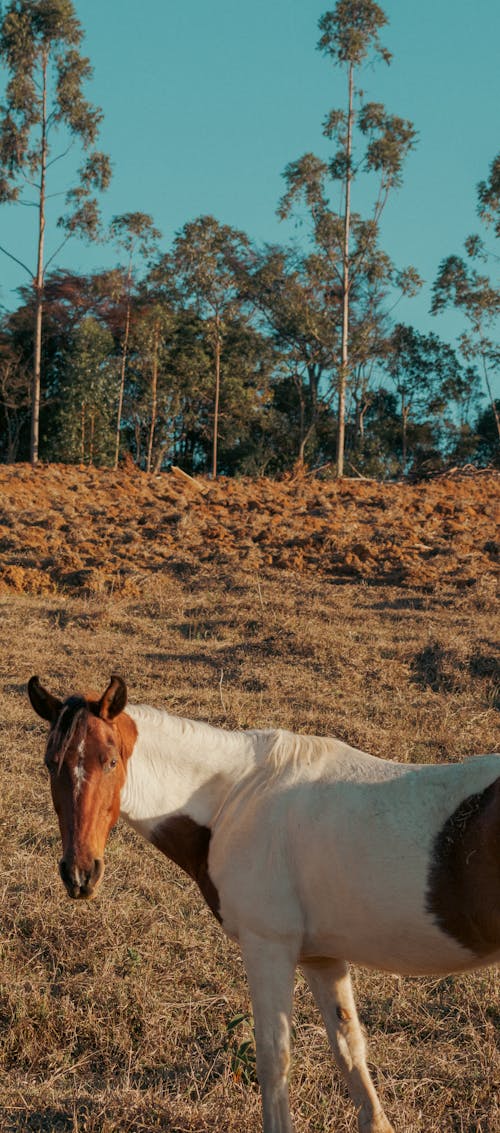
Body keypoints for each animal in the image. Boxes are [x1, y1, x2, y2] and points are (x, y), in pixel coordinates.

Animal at [28, 670, 498, 1133]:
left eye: (109, 761)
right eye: (51, 764)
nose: (79, 873)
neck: (236, 798)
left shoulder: (267, 947)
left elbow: (274, 1059)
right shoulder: (322, 958)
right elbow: (348, 1048)